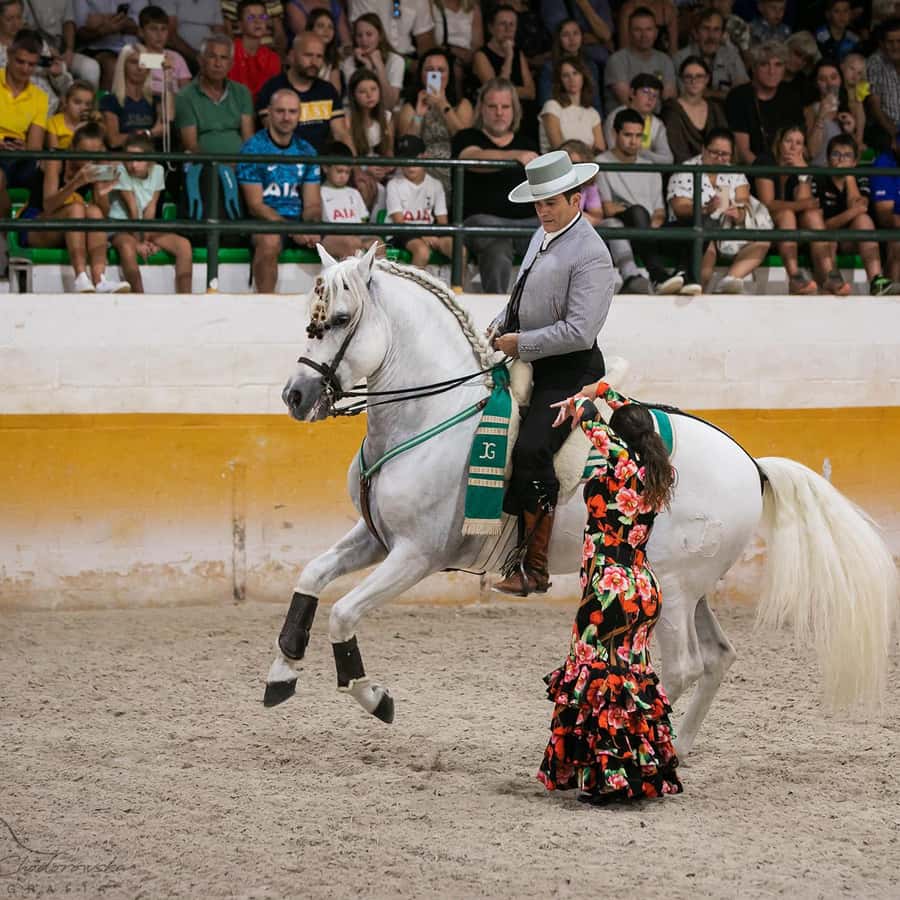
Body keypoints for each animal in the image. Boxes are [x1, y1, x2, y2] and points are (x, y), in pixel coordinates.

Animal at [263, 243, 898, 757]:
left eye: (339, 319)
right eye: (311, 321)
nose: (295, 395)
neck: (433, 416)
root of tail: (751, 465)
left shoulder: (416, 554)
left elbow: (344, 612)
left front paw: (374, 696)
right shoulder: (375, 537)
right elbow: (311, 578)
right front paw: (281, 672)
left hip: (675, 585)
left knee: (686, 666)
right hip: (688, 586)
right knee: (719, 658)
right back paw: (680, 748)